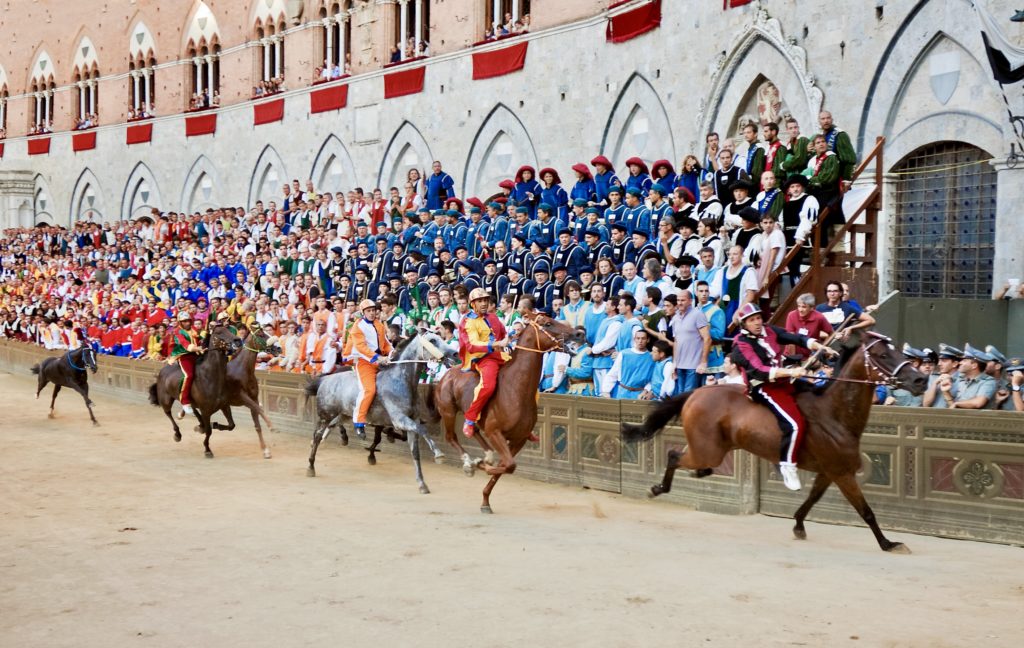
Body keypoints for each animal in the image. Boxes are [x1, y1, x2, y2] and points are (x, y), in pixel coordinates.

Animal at [147, 325, 240, 456]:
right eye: (219, 332)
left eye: (229, 329)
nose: (237, 340)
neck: (211, 377)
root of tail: (162, 371)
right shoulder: (206, 410)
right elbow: (209, 431)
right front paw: (207, 450)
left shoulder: (224, 405)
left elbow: (231, 425)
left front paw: (215, 425)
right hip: (166, 400)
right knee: (168, 414)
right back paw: (178, 434)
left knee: (193, 410)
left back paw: (196, 422)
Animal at [208, 325, 280, 456]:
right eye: (261, 334)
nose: (278, 347)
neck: (242, 370)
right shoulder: (242, 397)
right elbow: (259, 409)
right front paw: (272, 426)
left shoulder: (253, 397)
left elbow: (257, 424)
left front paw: (265, 450)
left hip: (223, 404)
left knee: (229, 424)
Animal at [303, 331, 460, 493]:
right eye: (433, 340)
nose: (455, 354)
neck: (400, 381)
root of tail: (324, 380)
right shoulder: (399, 419)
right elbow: (422, 429)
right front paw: (439, 454)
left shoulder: (412, 420)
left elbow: (415, 452)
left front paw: (422, 484)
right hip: (325, 415)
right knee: (317, 436)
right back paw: (311, 466)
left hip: (343, 414)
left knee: (331, 427)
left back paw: (344, 437)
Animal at [425, 311, 585, 513]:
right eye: (548, 323)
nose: (579, 333)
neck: (516, 389)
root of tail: (446, 374)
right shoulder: (495, 432)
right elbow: (508, 465)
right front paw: (477, 465)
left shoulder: (519, 438)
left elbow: (507, 466)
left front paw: (485, 499)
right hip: (448, 412)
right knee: (451, 437)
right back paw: (469, 462)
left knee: (474, 429)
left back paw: (486, 455)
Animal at [618, 333, 933, 552]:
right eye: (882, 354)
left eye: (897, 350)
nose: (920, 380)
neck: (834, 413)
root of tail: (696, 393)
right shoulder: (842, 473)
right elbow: (866, 511)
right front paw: (889, 544)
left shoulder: (828, 472)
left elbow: (811, 499)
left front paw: (798, 526)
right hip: (708, 450)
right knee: (673, 455)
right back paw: (657, 488)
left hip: (712, 448)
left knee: (686, 457)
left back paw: (691, 476)